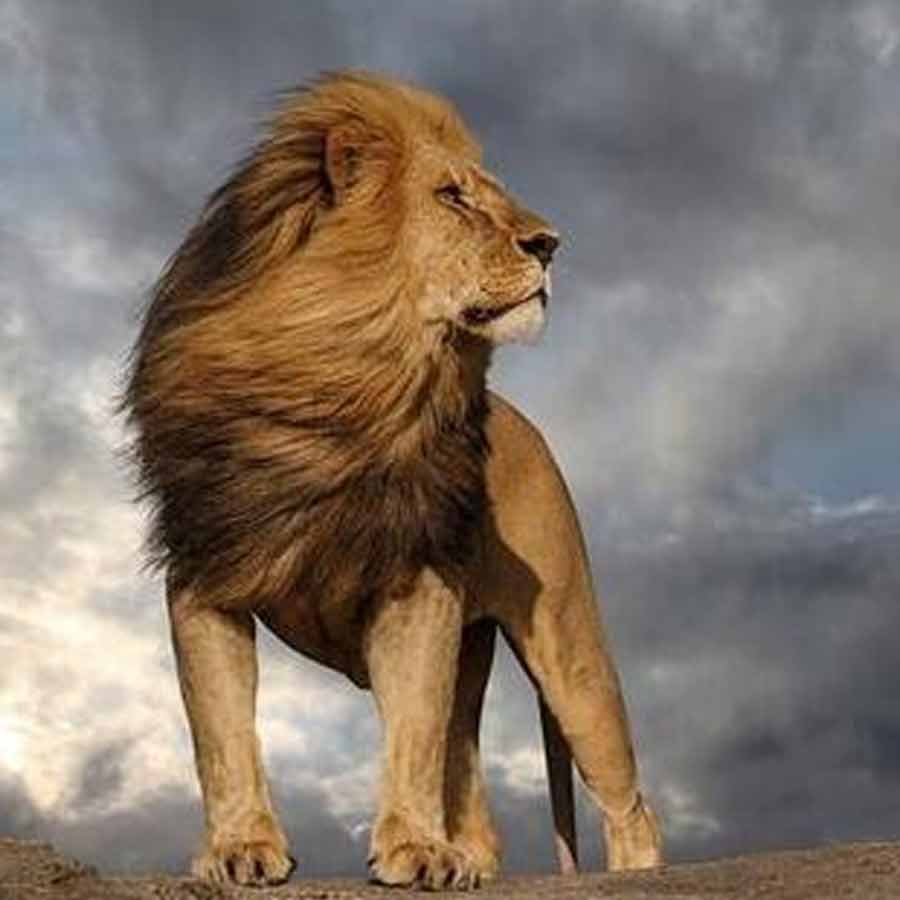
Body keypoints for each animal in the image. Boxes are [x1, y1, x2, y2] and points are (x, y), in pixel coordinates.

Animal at [121, 70, 662, 889]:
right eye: (452, 197)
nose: (550, 243)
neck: (347, 381)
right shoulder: (204, 574)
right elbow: (222, 733)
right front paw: (241, 847)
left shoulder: (418, 585)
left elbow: (411, 730)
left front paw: (414, 848)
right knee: (479, 806)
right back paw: (472, 860)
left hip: (571, 649)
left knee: (628, 802)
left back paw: (631, 874)